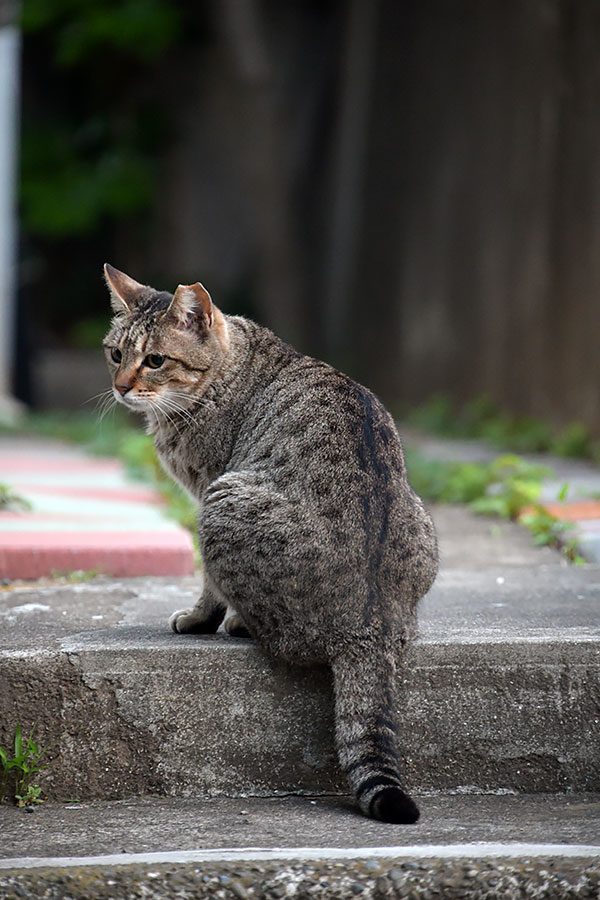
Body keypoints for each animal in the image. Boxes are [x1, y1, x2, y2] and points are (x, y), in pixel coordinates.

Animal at [103, 262, 438, 824]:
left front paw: (200, 618)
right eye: (114, 354)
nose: (122, 387)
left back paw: (240, 623)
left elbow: (209, 584)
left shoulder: (206, 488)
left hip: (224, 500)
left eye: (154, 360)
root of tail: (370, 626)